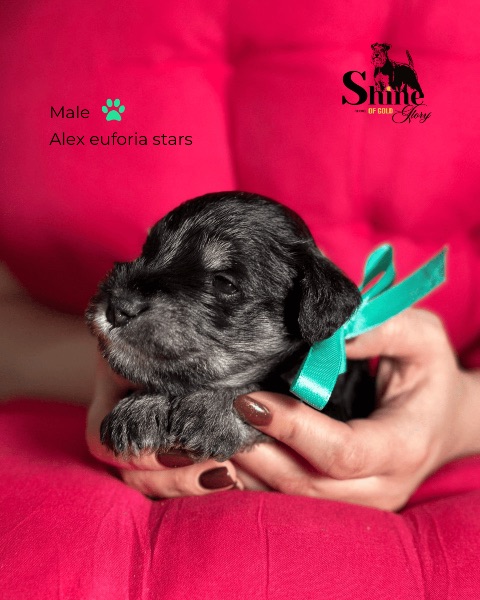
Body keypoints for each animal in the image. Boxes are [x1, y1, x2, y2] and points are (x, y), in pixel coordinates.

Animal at [86, 192, 375, 461]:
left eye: (224, 283)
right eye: (147, 252)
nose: (118, 307)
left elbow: (265, 388)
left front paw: (212, 409)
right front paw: (141, 405)